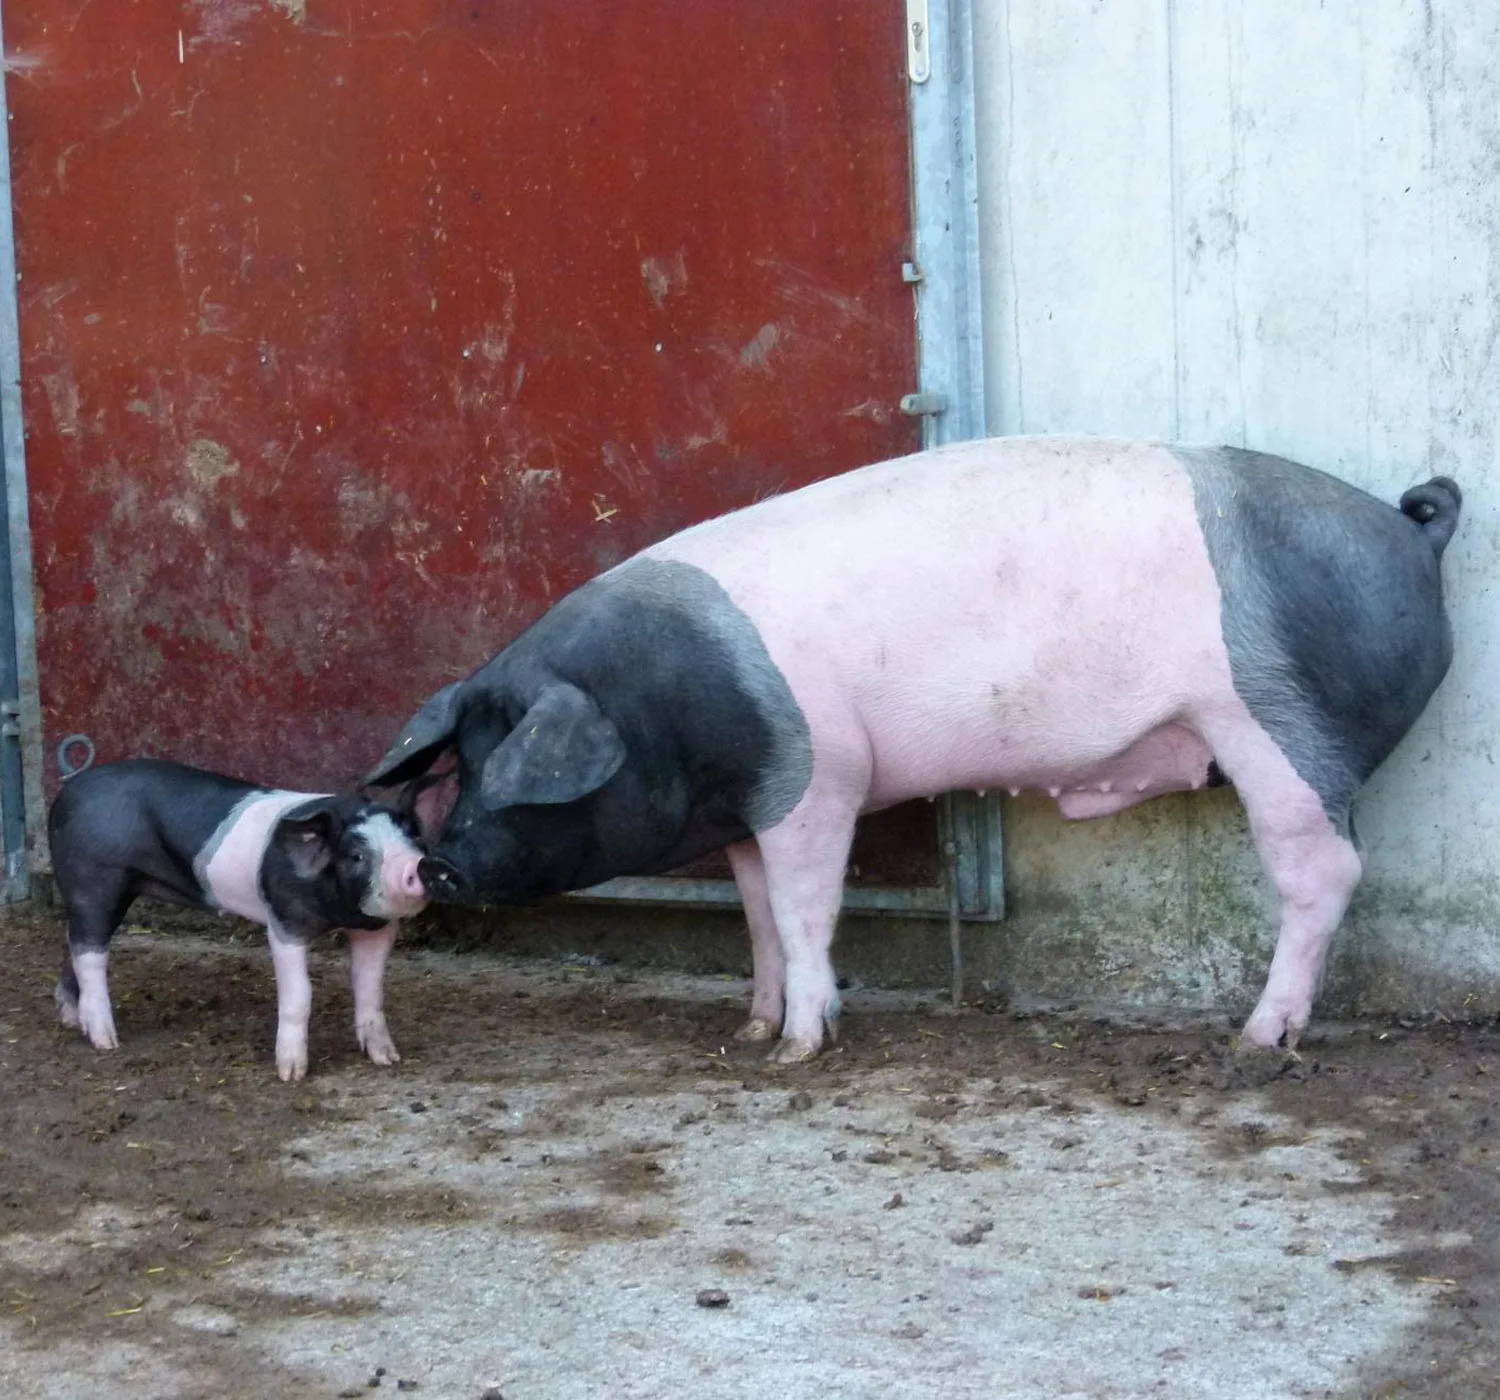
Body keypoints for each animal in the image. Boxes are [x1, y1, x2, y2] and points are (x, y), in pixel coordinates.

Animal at [49, 758, 428, 1081]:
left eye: (415, 838)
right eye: (356, 855)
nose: (414, 865)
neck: (337, 909)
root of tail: (69, 789)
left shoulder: (376, 927)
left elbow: (370, 987)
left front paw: (387, 1059)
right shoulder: (285, 920)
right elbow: (300, 993)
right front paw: (291, 1075)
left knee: (76, 942)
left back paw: (71, 1020)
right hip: (94, 880)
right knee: (89, 952)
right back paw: (106, 1041)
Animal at [363, 437, 1461, 1064]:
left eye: (515, 765)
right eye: (459, 760)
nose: (439, 863)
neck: (666, 703)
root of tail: (1411, 529)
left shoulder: (818, 782)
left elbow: (805, 909)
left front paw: (797, 1050)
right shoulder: (750, 811)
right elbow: (757, 913)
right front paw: (750, 1027)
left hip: (1280, 729)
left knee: (1326, 870)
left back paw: (1257, 1039)